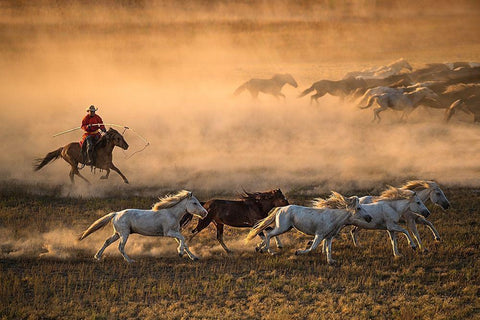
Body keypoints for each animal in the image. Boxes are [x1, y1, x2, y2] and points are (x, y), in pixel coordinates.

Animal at [78, 190, 206, 262]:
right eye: (194, 203)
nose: (205, 213)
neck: (171, 214)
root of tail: (116, 214)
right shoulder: (168, 232)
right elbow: (183, 239)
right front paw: (180, 253)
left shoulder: (175, 233)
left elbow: (185, 243)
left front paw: (193, 257)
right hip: (124, 234)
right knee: (120, 247)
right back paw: (130, 260)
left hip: (117, 233)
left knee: (107, 241)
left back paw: (97, 256)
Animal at [246, 191, 374, 264]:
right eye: (358, 208)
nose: (369, 218)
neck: (333, 217)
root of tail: (280, 208)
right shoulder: (319, 235)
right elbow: (313, 248)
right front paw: (297, 252)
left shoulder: (329, 237)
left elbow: (328, 249)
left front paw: (331, 261)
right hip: (282, 228)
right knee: (269, 234)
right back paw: (267, 250)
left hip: (285, 228)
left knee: (268, 234)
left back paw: (260, 248)